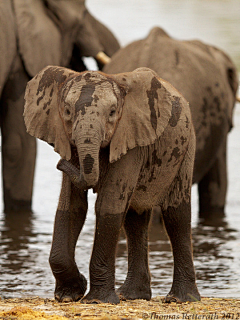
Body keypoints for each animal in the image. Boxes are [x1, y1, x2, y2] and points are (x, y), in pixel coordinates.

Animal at [23, 66, 201, 304]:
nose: (59, 164)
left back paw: (180, 299)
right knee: (135, 218)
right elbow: (72, 207)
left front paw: (96, 300)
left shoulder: (131, 140)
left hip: (187, 144)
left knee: (175, 215)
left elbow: (107, 207)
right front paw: (70, 294)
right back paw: (132, 296)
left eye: (113, 112)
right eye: (67, 112)